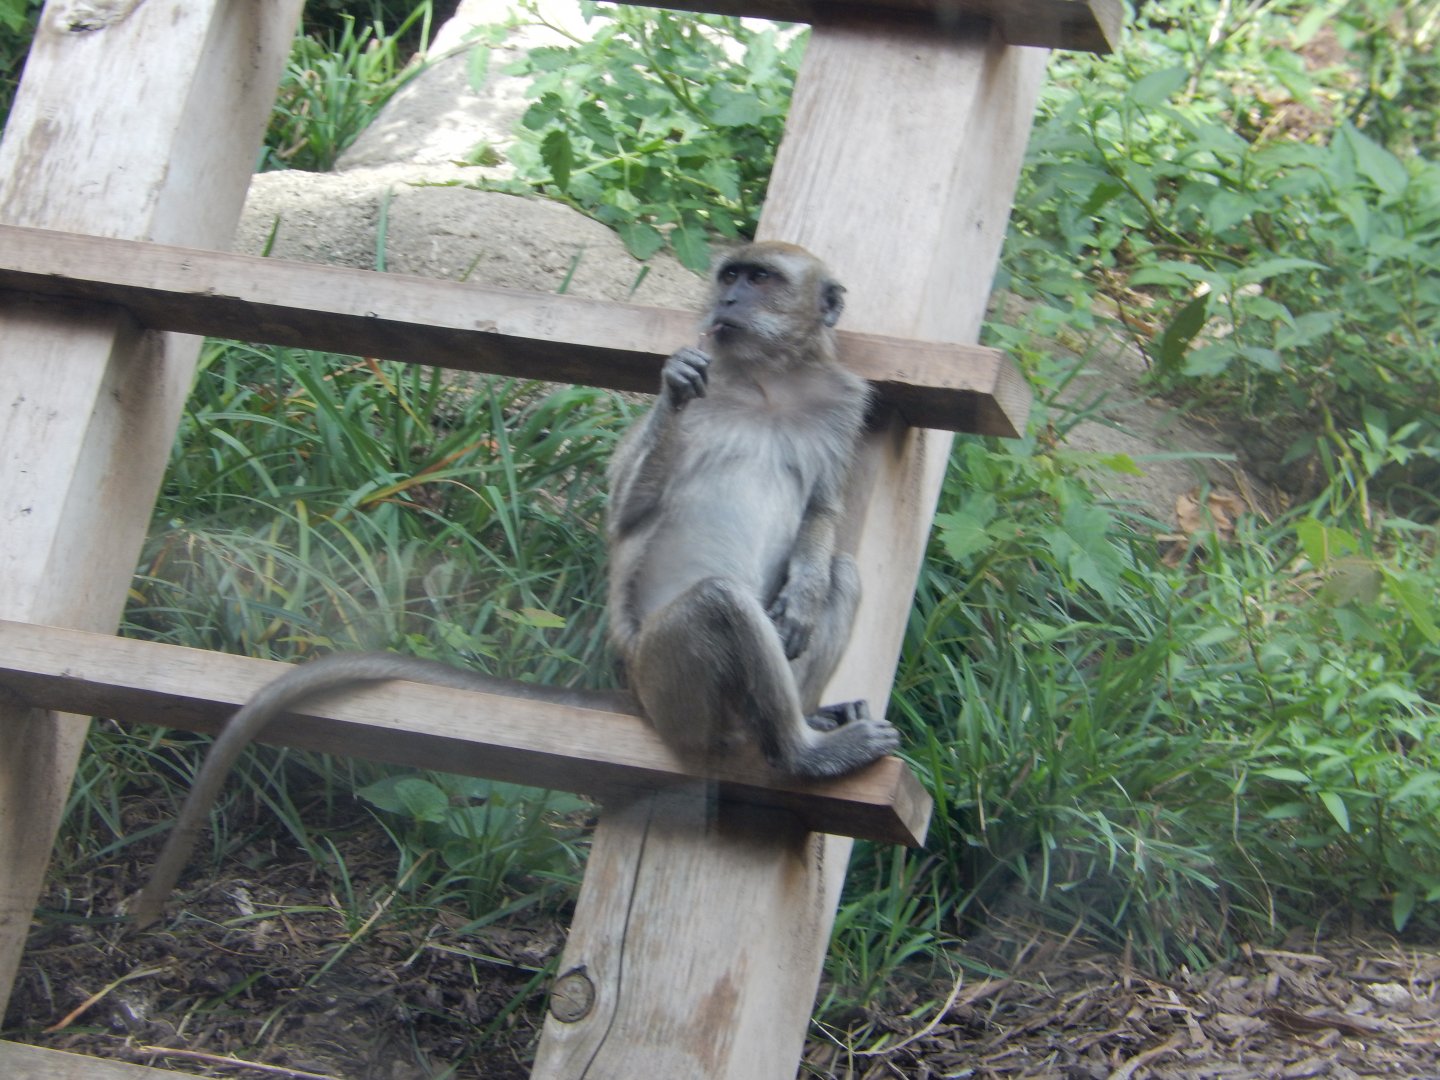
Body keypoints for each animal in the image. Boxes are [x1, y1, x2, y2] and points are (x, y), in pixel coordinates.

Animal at [127, 240, 898, 928]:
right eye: (731, 275)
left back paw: (808, 718)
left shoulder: (840, 402)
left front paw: (802, 592)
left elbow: (823, 514)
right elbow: (626, 514)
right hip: (673, 687)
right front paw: (675, 386)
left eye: (761, 279)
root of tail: (632, 691)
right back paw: (797, 750)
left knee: (841, 575)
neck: (767, 381)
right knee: (719, 600)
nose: (729, 302)